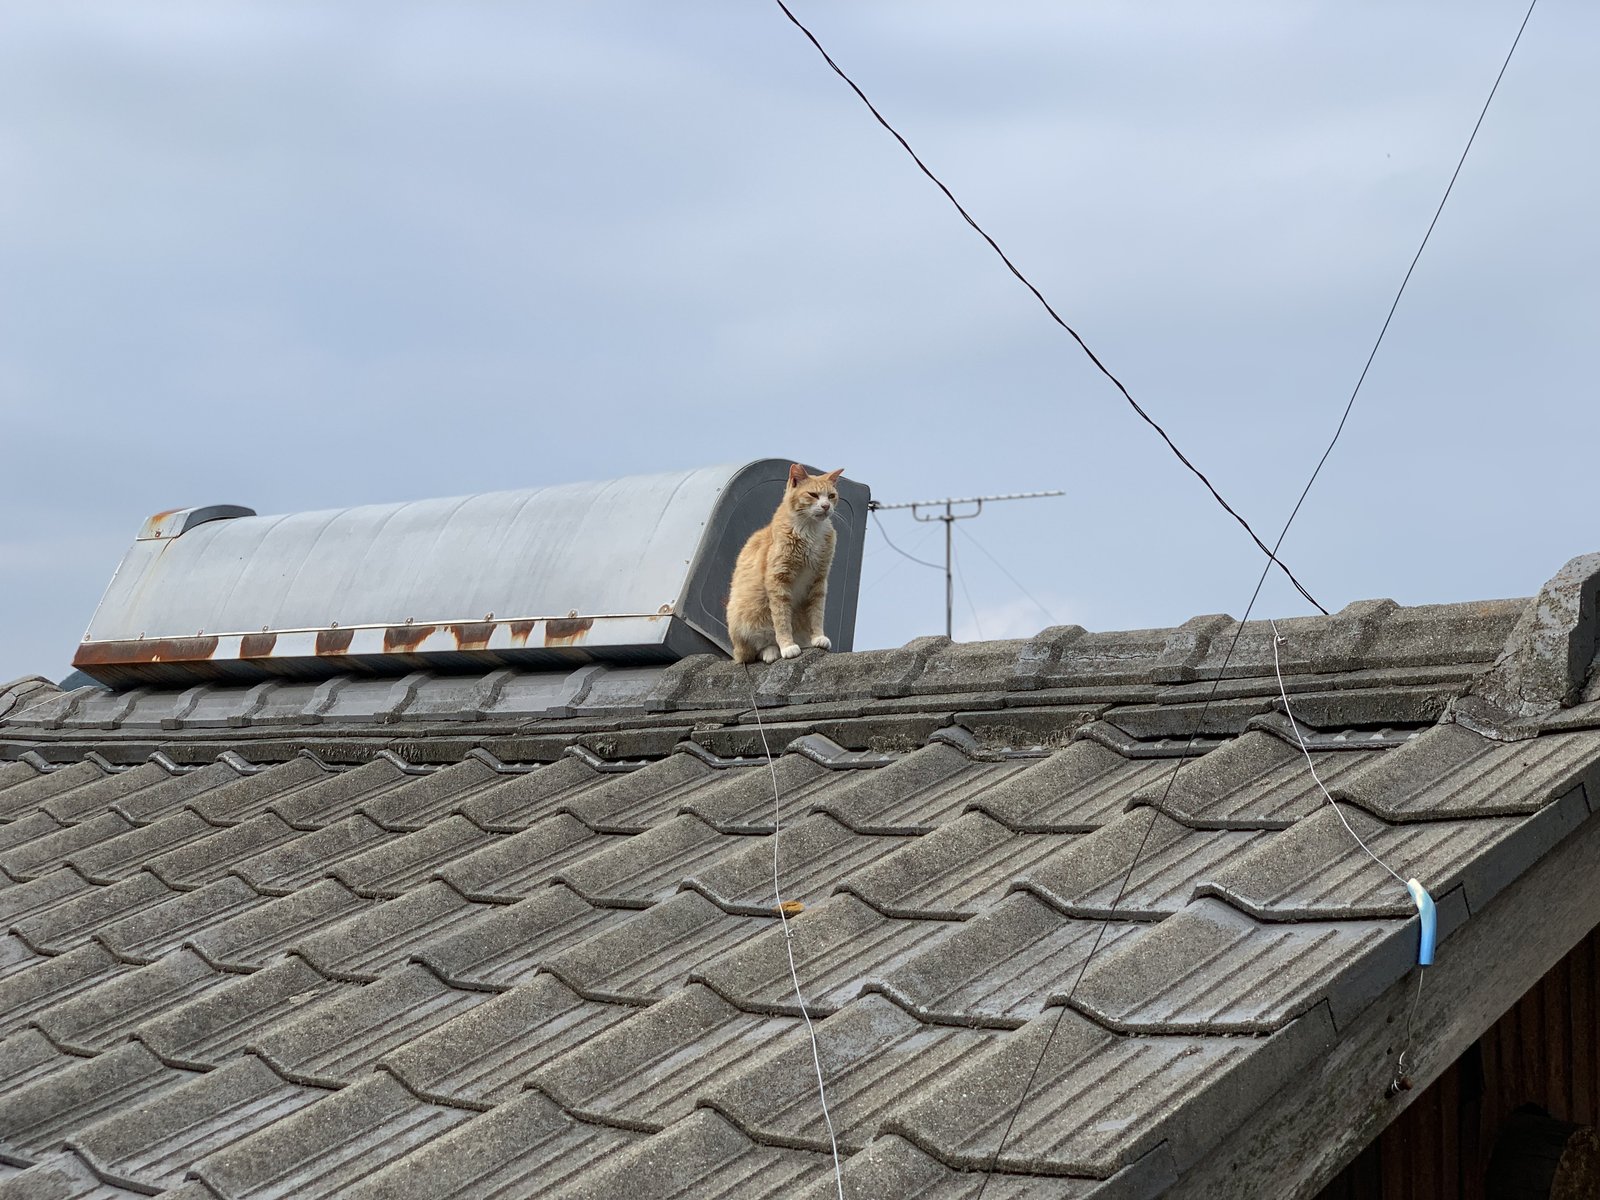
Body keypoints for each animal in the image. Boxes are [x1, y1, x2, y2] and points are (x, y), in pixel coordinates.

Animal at [729, 464, 844, 668]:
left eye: (831, 496)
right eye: (813, 495)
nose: (826, 506)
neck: (810, 530)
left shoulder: (819, 581)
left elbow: (817, 613)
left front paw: (818, 637)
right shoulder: (778, 581)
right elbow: (781, 619)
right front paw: (787, 646)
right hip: (749, 615)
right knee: (757, 648)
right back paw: (772, 651)